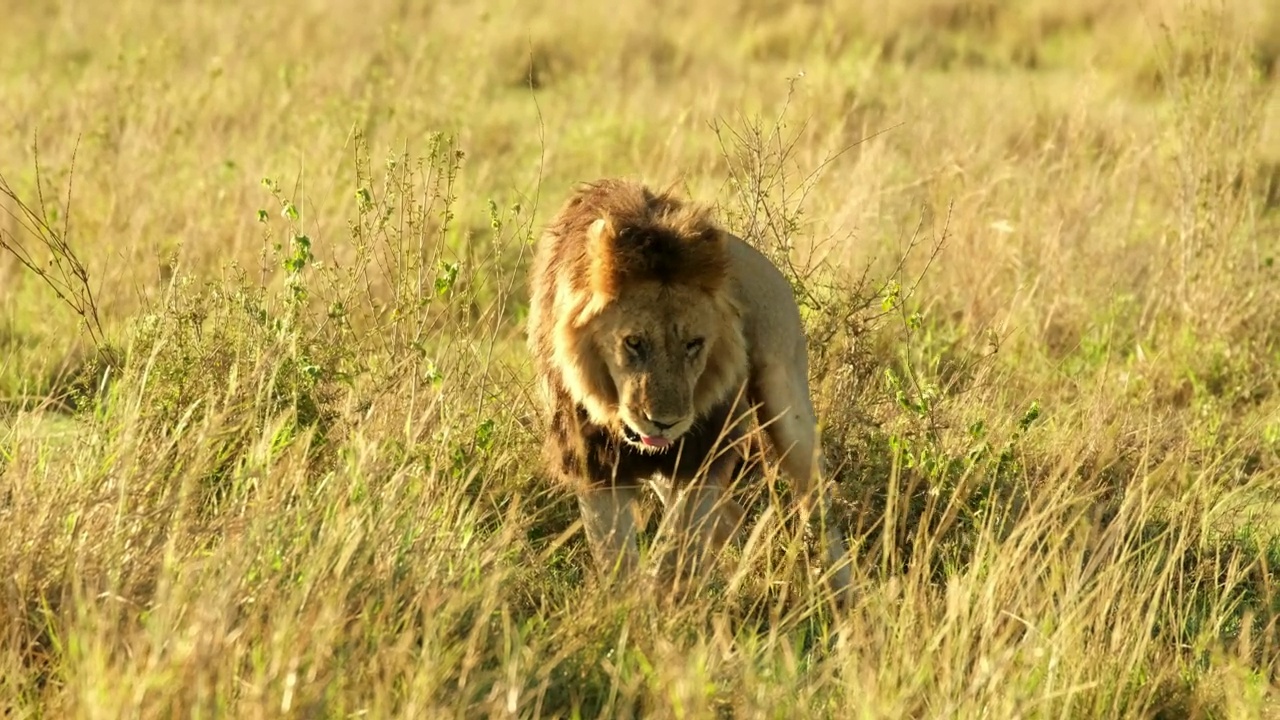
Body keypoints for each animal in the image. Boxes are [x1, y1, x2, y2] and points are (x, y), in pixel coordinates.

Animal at [524, 176, 855, 597]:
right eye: (634, 342)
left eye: (694, 344)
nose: (665, 422)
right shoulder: (594, 459)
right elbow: (616, 556)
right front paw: (628, 605)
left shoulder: (702, 453)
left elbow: (677, 548)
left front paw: (665, 598)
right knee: (731, 518)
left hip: (787, 407)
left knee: (817, 499)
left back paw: (842, 593)